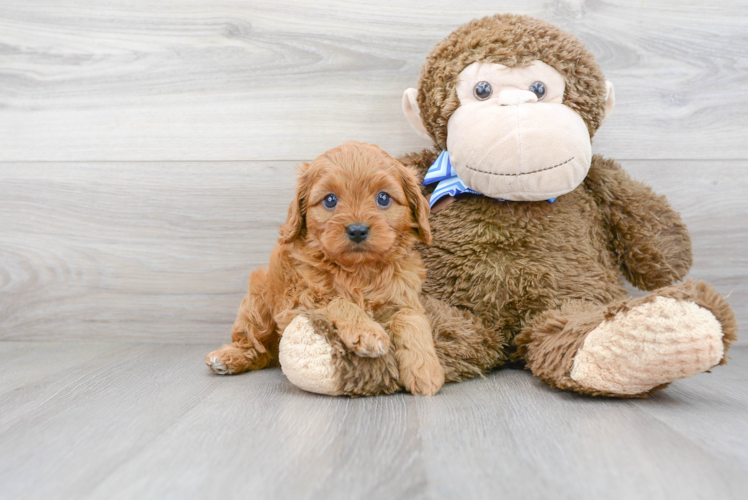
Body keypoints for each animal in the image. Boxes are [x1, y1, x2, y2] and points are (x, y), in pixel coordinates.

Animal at [206, 140, 444, 394]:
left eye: (383, 198)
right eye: (330, 200)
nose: (357, 230)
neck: (358, 271)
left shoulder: (404, 297)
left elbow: (412, 318)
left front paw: (426, 370)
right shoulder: (298, 300)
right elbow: (339, 302)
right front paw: (367, 331)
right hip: (258, 300)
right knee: (256, 346)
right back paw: (230, 357)